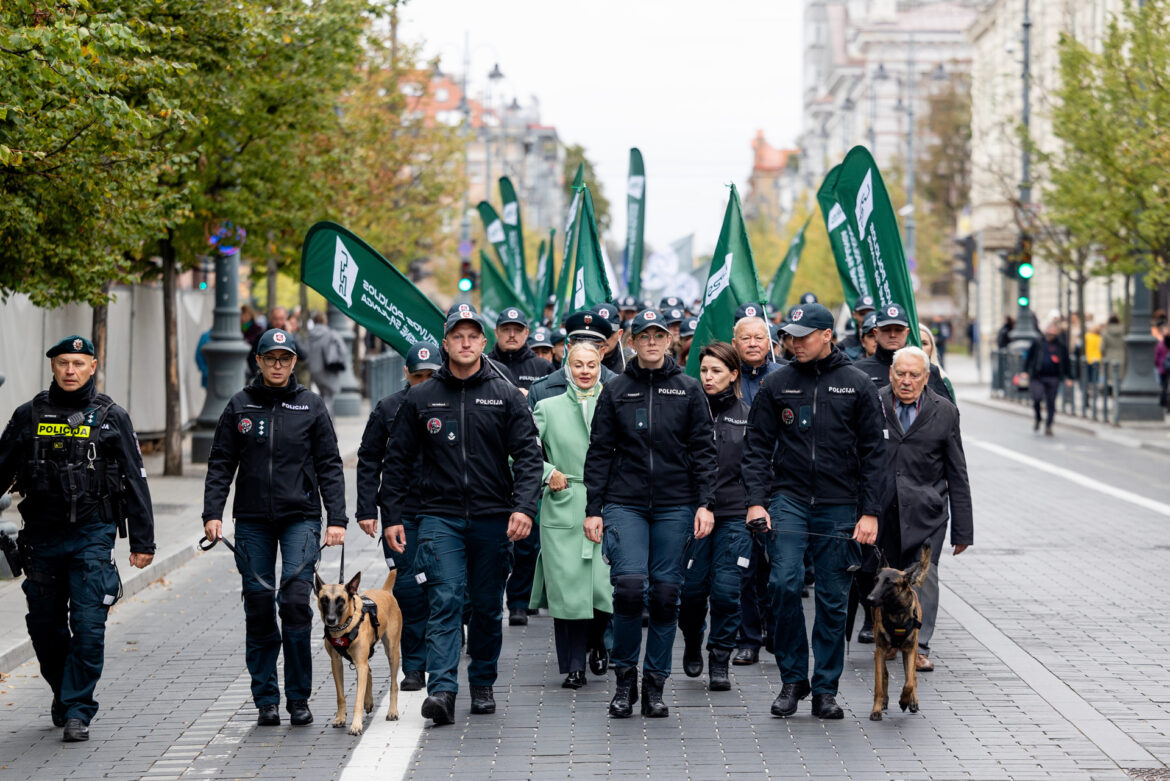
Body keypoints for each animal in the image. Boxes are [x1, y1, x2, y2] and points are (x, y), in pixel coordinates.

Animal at [315, 570, 402, 734]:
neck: (344, 627)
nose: (330, 620)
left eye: (341, 600)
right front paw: (340, 718)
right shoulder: (336, 663)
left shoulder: (360, 663)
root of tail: (385, 591)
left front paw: (356, 725)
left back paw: (392, 711)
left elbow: (357, 700)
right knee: (369, 670)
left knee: (393, 684)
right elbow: (340, 696)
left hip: (392, 652)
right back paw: (369, 702)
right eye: (324, 600)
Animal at [865, 542, 935, 720]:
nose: (869, 599)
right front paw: (876, 709)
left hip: (911, 649)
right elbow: (879, 682)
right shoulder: (880, 650)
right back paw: (885, 701)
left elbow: (909, 681)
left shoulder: (910, 650)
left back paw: (913, 701)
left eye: (889, 583)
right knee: (885, 675)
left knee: (913, 677)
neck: (896, 612)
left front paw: (905, 701)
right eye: (876, 580)